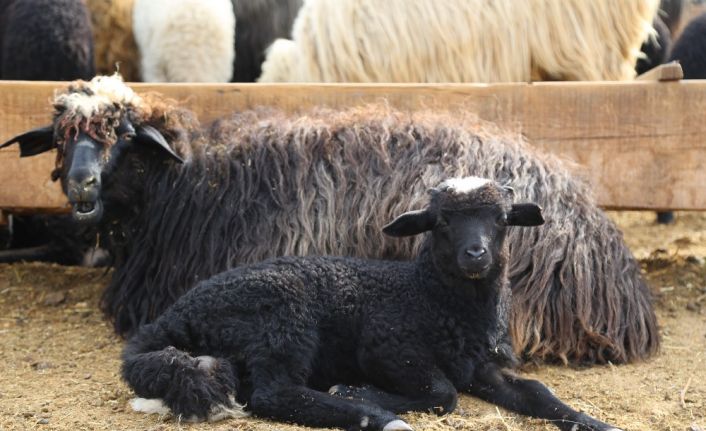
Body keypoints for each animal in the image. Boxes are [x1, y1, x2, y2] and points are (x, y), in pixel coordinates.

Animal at [124, 177, 620, 431]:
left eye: (501, 220)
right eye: (441, 223)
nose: (475, 255)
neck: (429, 297)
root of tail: (172, 318)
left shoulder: (482, 366)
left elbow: (538, 392)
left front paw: (594, 423)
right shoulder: (386, 346)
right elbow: (443, 394)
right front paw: (357, 391)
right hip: (282, 319)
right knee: (273, 392)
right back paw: (375, 417)